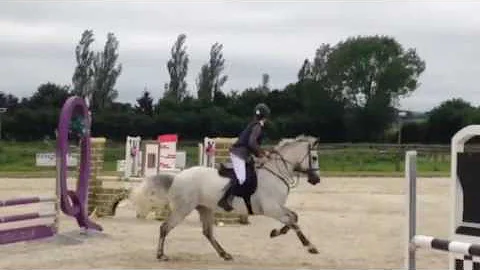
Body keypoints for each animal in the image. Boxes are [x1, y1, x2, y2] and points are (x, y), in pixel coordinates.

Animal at [129, 135, 320, 262]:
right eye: (315, 157)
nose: (316, 180)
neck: (275, 172)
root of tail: (177, 177)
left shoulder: (278, 207)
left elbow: (293, 218)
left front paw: (275, 233)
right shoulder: (271, 208)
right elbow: (293, 222)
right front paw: (310, 247)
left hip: (205, 208)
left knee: (207, 232)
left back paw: (224, 254)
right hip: (183, 209)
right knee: (165, 227)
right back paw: (161, 255)